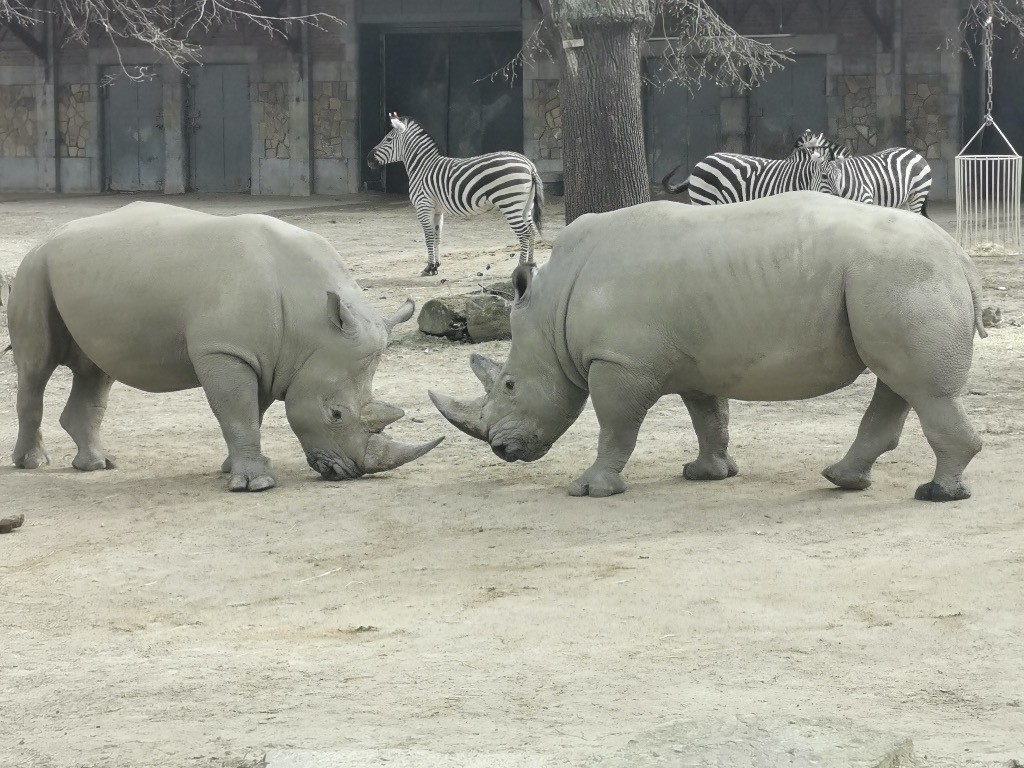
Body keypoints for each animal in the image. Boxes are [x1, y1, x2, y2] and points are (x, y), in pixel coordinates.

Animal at [6, 201, 442, 491]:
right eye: (335, 414)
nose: (348, 472)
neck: (312, 326)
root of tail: (47, 238)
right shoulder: (225, 350)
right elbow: (237, 412)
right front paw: (257, 484)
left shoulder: (263, 356)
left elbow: (252, 411)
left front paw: (234, 469)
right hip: (34, 269)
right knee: (37, 368)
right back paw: (32, 464)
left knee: (96, 372)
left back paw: (97, 465)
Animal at [430, 192, 987, 501]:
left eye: (508, 384)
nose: (501, 449)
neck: (552, 313)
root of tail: (958, 255)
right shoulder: (695, 360)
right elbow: (708, 416)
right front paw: (707, 474)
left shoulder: (620, 361)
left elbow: (615, 426)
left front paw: (589, 489)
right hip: (892, 280)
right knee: (899, 380)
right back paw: (843, 479)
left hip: (899, 276)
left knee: (920, 387)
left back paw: (936, 495)